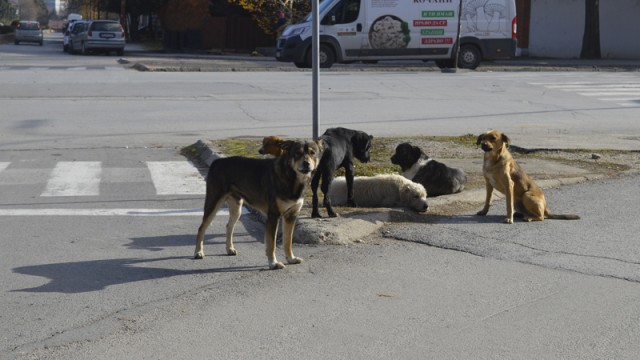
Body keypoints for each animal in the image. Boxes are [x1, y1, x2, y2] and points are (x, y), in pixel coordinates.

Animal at [194, 139, 322, 268]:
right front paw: (273, 263)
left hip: (237, 208)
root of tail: (217, 162)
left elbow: (287, 241)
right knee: (201, 228)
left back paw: (229, 249)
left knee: (229, 226)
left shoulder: (291, 216)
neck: (291, 177)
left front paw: (291, 258)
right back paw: (198, 252)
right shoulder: (273, 216)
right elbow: (272, 244)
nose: (306, 163)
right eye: (297, 153)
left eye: (313, 153)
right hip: (213, 203)